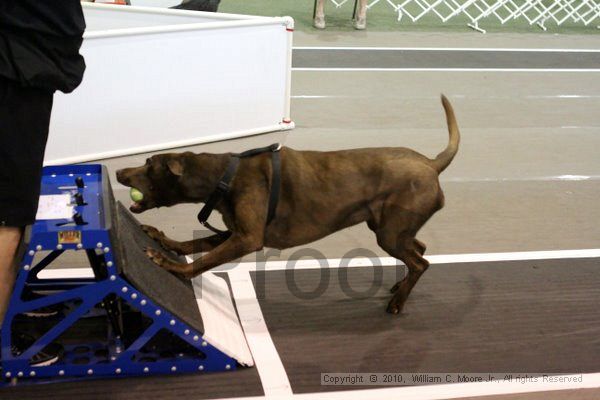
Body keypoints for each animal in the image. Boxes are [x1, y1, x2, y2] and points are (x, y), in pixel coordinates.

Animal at [115, 95, 460, 314]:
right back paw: (400, 285)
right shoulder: (232, 231)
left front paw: (169, 265)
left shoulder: (247, 238)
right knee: (420, 249)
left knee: (420, 262)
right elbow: (193, 244)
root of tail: (431, 164)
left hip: (389, 232)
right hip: (388, 226)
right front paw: (162, 240)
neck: (224, 175)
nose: (118, 172)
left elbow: (201, 261)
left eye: (147, 164)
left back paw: (398, 302)